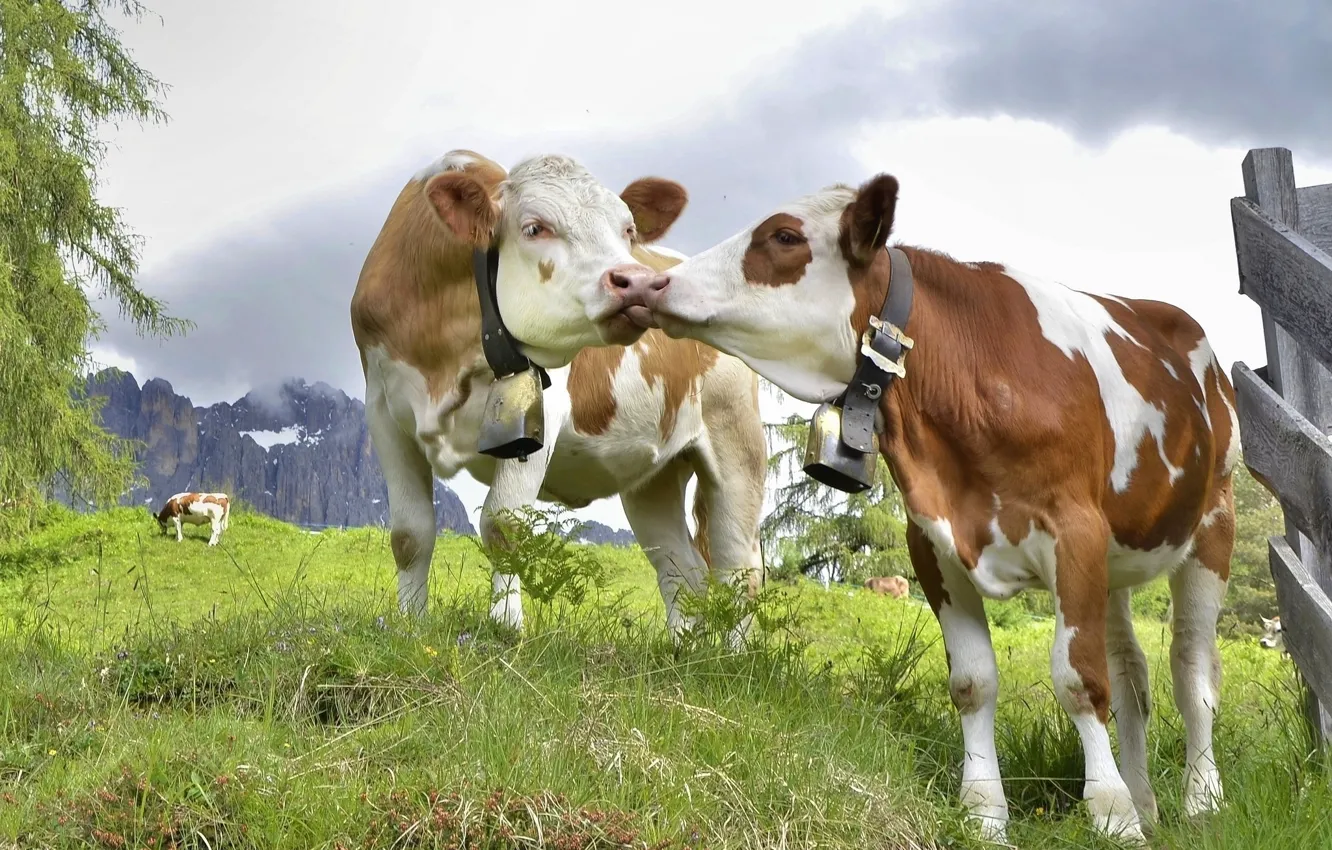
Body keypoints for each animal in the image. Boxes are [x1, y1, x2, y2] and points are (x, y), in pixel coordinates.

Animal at [349, 150, 766, 644]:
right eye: (535, 228)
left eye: (628, 230)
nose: (637, 281)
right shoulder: (383, 412)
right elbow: (409, 535)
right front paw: (410, 626)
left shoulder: (539, 412)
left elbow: (504, 523)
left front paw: (505, 627)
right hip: (653, 480)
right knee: (682, 571)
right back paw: (684, 650)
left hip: (736, 443)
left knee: (738, 572)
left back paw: (734, 654)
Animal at [597, 173, 1239, 844]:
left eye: (785, 237)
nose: (652, 283)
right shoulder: (932, 541)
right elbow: (973, 681)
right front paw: (986, 814)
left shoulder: (1074, 532)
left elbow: (1080, 678)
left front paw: (1111, 815)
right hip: (1117, 562)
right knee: (1133, 673)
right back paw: (1146, 800)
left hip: (1212, 528)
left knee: (1193, 673)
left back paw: (1200, 801)